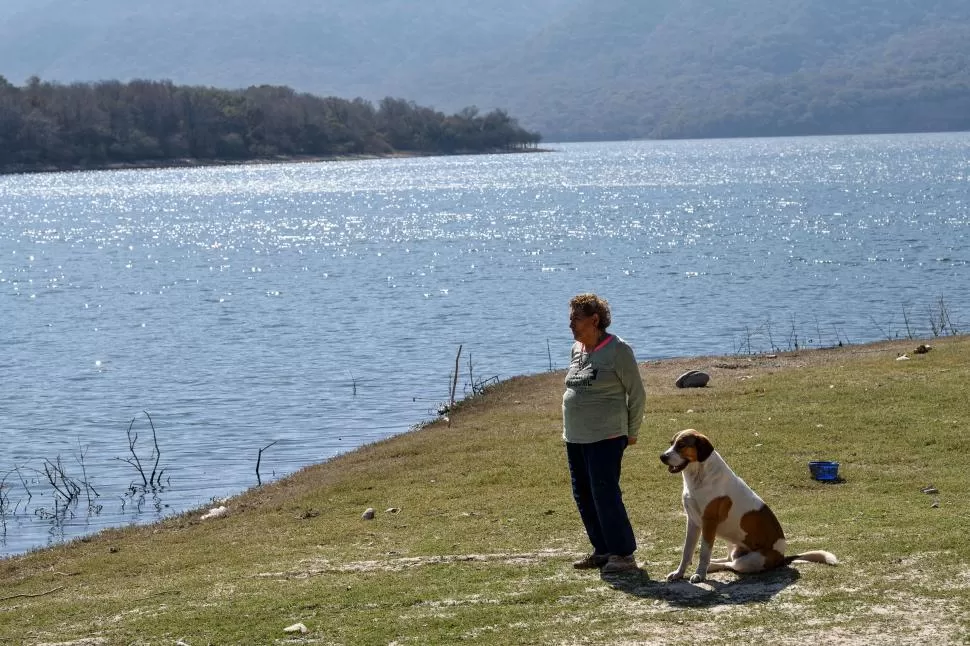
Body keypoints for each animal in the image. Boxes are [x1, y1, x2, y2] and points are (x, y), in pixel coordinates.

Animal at [660, 430, 836, 588]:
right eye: (671, 443)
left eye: (681, 445)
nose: (662, 456)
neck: (699, 476)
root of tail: (782, 558)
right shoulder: (692, 521)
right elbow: (686, 551)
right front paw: (679, 573)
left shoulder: (708, 524)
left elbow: (704, 552)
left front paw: (700, 574)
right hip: (733, 546)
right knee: (728, 560)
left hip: (749, 560)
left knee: (732, 565)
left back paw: (710, 566)